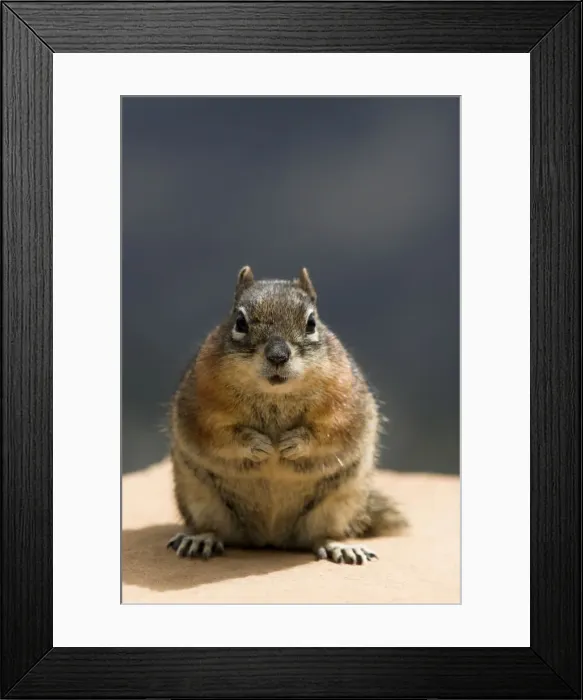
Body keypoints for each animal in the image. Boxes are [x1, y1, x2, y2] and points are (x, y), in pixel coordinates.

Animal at [167, 266, 407, 565]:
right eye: (240, 322)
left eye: (311, 323)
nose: (278, 356)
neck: (275, 395)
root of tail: (270, 537)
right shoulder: (202, 404)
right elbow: (219, 434)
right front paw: (257, 445)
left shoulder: (344, 402)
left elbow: (331, 431)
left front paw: (292, 444)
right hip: (200, 498)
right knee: (214, 528)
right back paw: (201, 539)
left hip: (339, 503)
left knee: (321, 535)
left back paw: (340, 546)